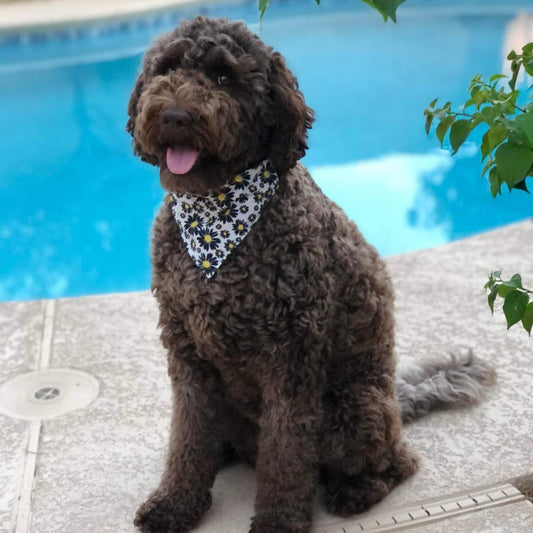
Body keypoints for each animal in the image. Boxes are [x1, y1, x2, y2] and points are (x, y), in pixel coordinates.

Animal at [128, 16, 494, 532]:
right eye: (167, 69)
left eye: (223, 76)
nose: (175, 116)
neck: (216, 214)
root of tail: (398, 401)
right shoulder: (187, 353)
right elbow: (188, 435)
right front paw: (175, 502)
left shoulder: (291, 360)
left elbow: (286, 454)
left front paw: (278, 521)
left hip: (353, 408)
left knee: (397, 463)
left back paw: (356, 490)